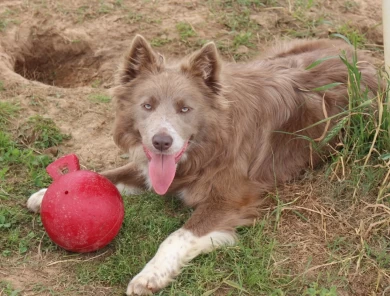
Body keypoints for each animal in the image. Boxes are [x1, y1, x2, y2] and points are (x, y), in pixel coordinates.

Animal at [27, 34, 380, 294]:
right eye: (147, 105)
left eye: (185, 108)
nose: (162, 142)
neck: (206, 148)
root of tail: (361, 52)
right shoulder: (154, 168)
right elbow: (108, 175)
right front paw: (49, 193)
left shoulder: (231, 198)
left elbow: (178, 236)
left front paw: (150, 274)